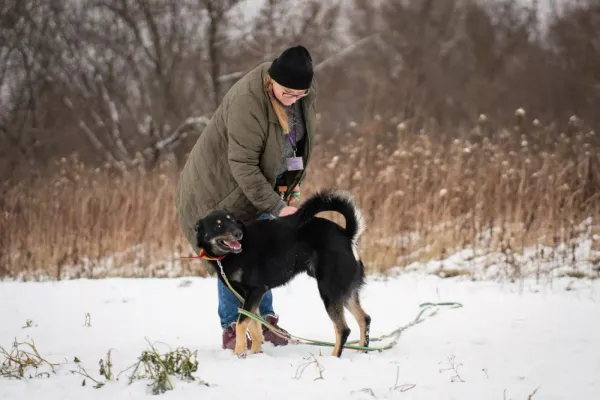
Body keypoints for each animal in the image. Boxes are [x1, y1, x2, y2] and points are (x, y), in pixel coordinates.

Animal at [195, 189, 370, 358]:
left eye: (232, 220)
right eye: (218, 225)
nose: (238, 233)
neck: (232, 254)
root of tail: (347, 235)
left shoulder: (256, 290)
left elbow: (241, 323)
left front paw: (240, 352)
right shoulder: (246, 296)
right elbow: (254, 325)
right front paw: (257, 353)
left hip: (329, 291)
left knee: (343, 329)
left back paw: (334, 357)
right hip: (344, 292)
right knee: (364, 318)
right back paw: (363, 350)